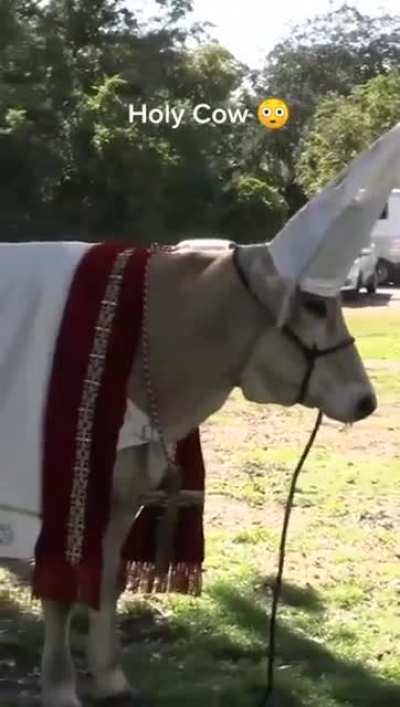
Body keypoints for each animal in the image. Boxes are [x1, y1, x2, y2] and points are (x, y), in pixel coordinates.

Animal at [38, 241, 376, 707]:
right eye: (312, 304)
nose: (367, 400)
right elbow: (60, 595)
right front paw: (59, 689)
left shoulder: (122, 500)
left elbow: (106, 582)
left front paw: (110, 678)